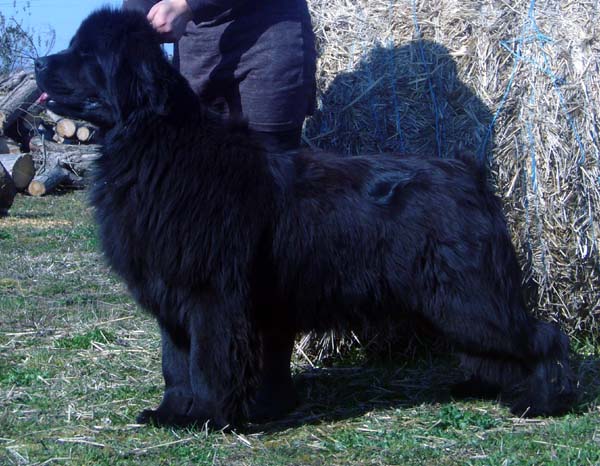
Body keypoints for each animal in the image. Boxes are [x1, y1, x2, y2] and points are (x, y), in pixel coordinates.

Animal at [34, 8, 576, 430]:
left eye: (85, 55)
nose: (38, 63)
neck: (155, 142)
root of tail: (469, 172)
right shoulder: (171, 292)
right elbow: (176, 363)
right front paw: (170, 414)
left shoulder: (210, 294)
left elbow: (207, 361)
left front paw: (207, 417)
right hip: (451, 300)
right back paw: (484, 386)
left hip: (469, 295)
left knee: (543, 336)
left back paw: (542, 401)